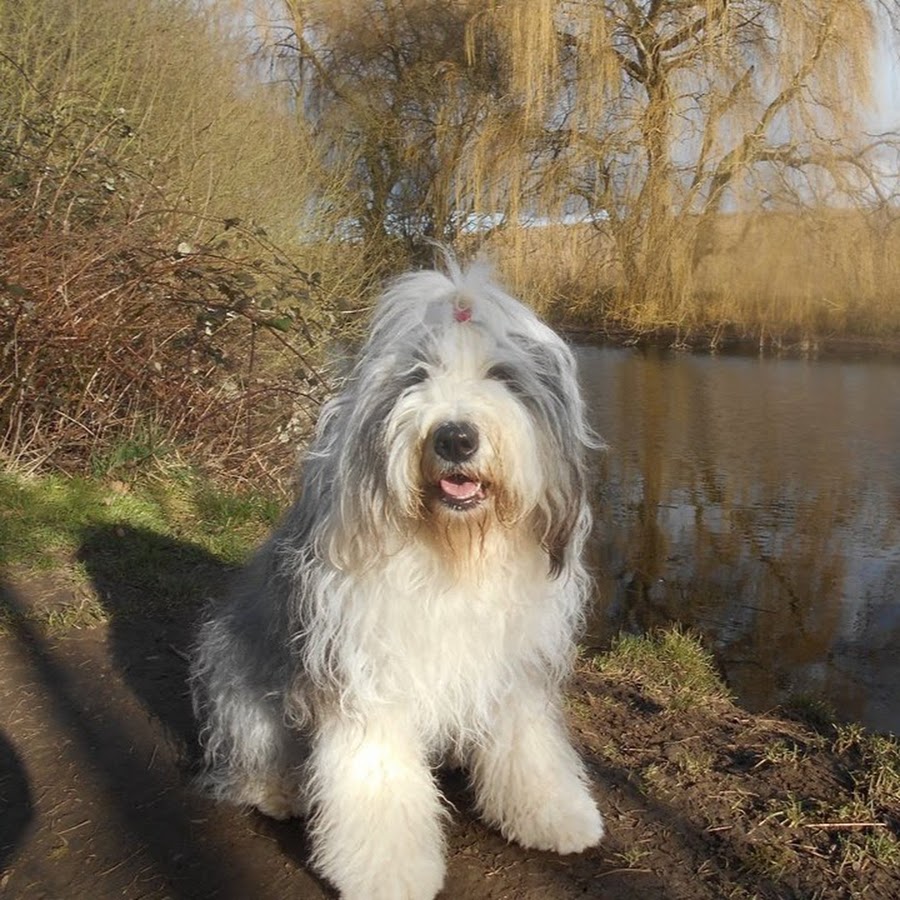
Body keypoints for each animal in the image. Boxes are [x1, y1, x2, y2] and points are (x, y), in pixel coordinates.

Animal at [193, 258, 608, 900]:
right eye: (417, 375)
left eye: (502, 376)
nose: (455, 437)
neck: (453, 552)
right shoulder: (366, 672)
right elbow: (376, 778)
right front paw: (387, 871)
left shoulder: (515, 666)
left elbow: (531, 745)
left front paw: (556, 816)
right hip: (241, 672)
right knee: (252, 752)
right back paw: (280, 791)